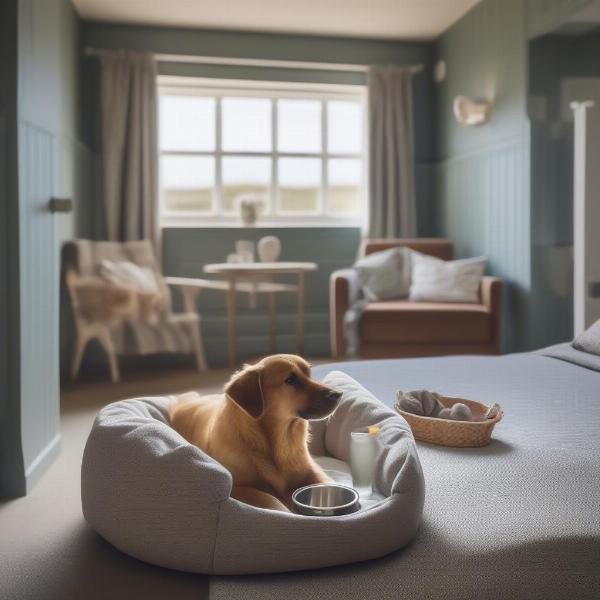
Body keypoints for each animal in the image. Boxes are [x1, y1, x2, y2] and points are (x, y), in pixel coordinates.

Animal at [171, 354, 342, 512]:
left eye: (309, 373)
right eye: (290, 380)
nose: (338, 394)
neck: (278, 441)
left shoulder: (313, 472)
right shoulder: (238, 487)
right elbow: (270, 499)